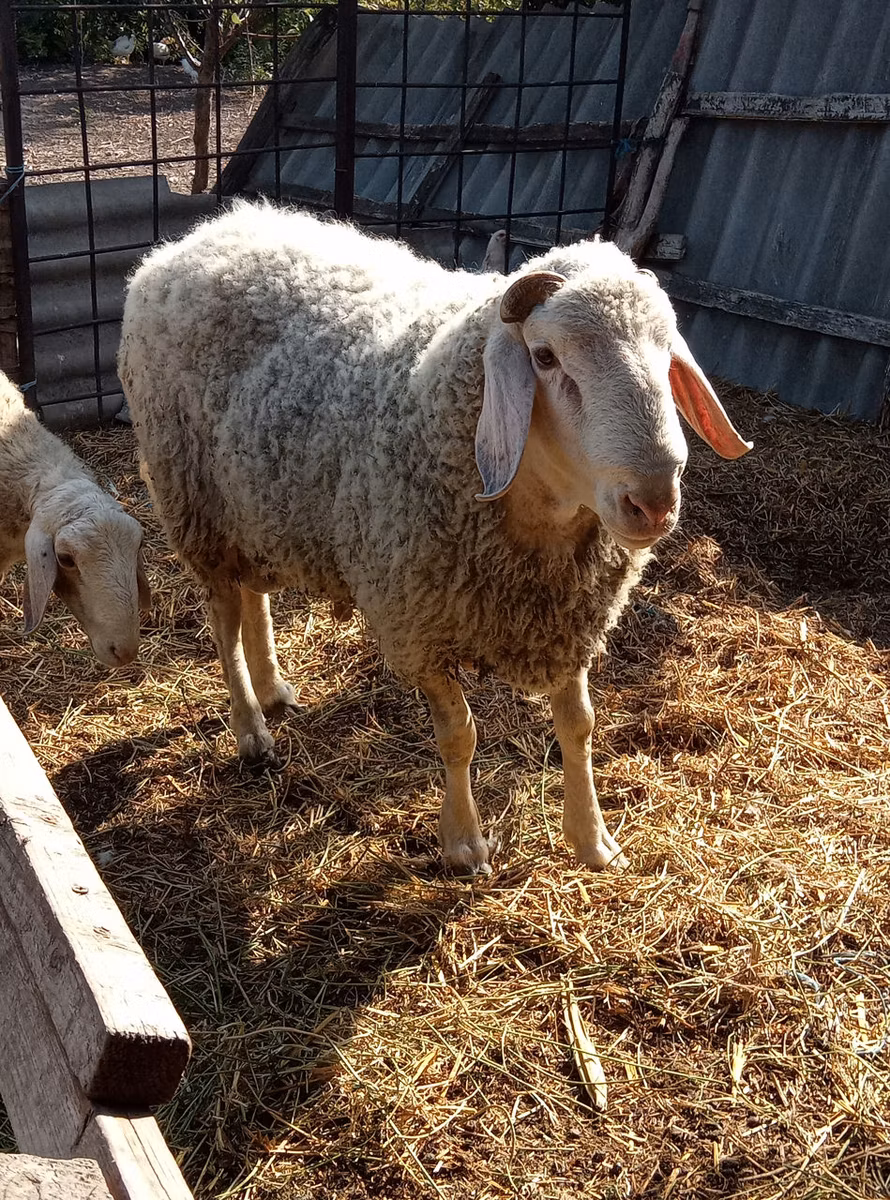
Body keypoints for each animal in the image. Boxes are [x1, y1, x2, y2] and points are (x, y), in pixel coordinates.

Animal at [119, 202, 750, 875]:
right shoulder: (417, 626)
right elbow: (459, 734)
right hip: (195, 504)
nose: (653, 501)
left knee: (254, 598)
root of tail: (200, 236)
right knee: (223, 620)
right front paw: (464, 843)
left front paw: (592, 839)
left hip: (256, 504)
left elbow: (578, 726)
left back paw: (273, 691)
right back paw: (250, 728)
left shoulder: (566, 618)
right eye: (545, 357)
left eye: (668, 355)